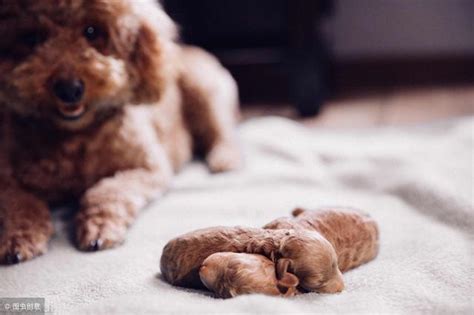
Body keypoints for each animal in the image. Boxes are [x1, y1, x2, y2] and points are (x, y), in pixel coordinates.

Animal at [0, 0, 239, 264]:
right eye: (31, 37)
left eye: (91, 31)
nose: (69, 89)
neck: (75, 136)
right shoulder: (6, 180)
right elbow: (21, 205)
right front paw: (18, 239)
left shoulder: (147, 169)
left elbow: (107, 190)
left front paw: (100, 227)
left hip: (203, 87)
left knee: (224, 132)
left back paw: (225, 159)